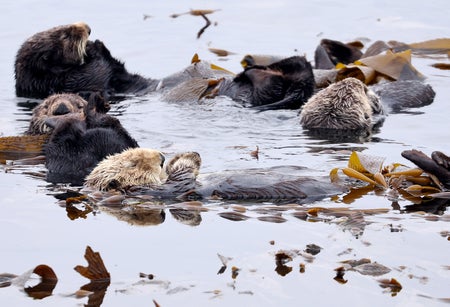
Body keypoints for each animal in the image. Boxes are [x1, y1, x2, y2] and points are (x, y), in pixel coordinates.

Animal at [14, 23, 159, 100]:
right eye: (65, 36)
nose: (88, 28)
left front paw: (94, 44)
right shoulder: (66, 84)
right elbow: (95, 73)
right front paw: (92, 47)